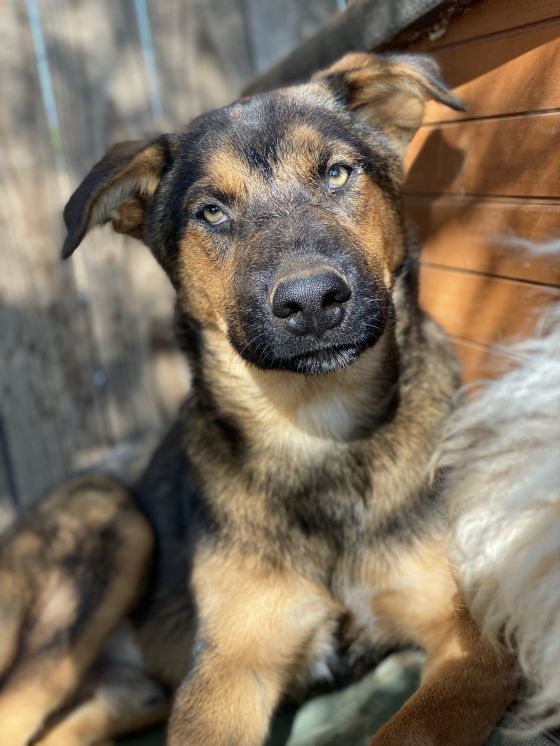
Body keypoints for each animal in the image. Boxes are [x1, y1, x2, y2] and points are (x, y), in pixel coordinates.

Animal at [0, 52, 516, 744]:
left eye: (336, 172)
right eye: (212, 212)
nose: (312, 302)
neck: (314, 429)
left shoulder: (475, 642)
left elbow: (408, 728)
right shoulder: (227, 671)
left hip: (127, 692)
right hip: (107, 528)